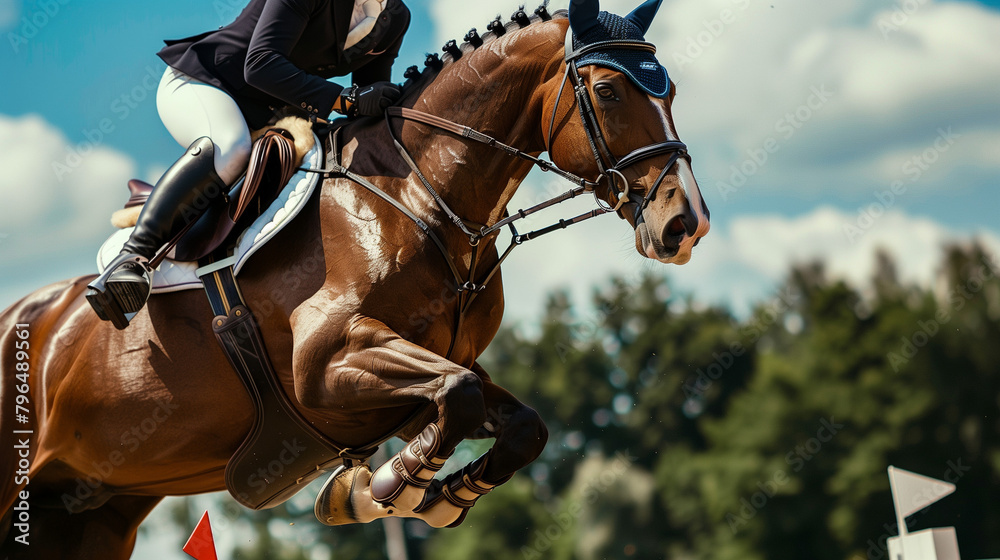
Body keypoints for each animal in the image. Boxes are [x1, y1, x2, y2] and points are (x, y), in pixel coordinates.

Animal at [0, 1, 709, 557]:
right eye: (609, 92)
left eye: (672, 92)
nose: (686, 224)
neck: (419, 199)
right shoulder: (326, 365)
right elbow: (456, 397)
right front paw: (383, 489)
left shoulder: (423, 371)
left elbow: (515, 423)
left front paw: (423, 494)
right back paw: (120, 281)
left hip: (88, 510)